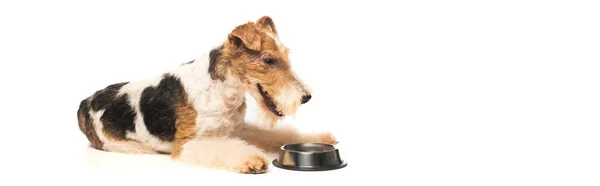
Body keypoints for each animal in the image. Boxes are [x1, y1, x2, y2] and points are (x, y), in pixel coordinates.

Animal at [77, 16, 336, 174]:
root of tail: (85, 102)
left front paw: (323, 137)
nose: (306, 97)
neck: (224, 90)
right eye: (269, 60)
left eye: (286, 55)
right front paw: (252, 160)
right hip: (116, 142)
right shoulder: (188, 143)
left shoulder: (235, 129)